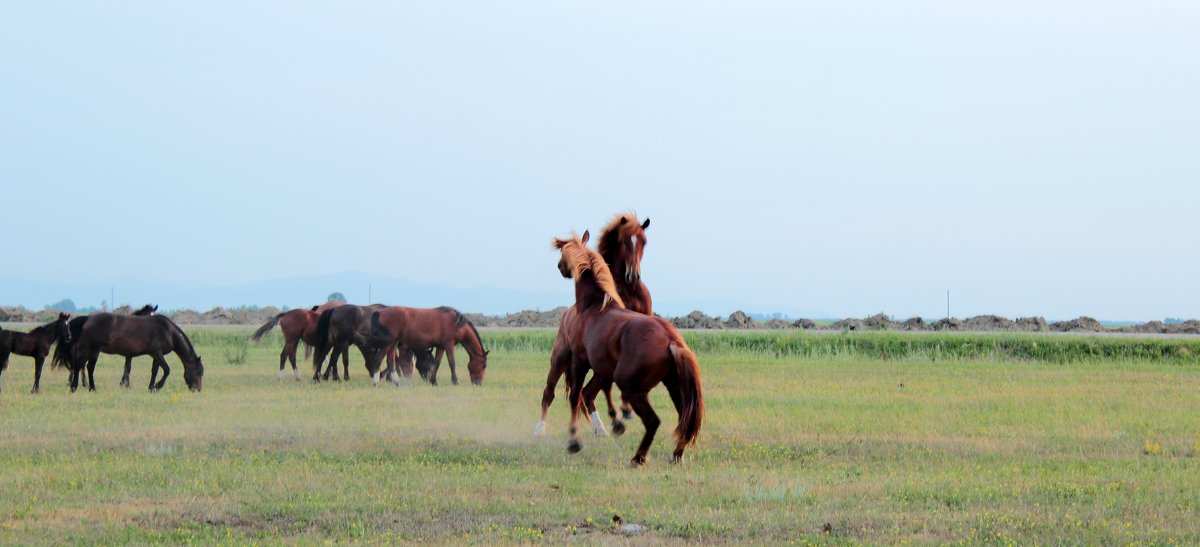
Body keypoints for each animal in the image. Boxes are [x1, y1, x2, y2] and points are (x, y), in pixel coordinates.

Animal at [66, 311, 204, 393]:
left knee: (78, 366)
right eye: (198, 372)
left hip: (88, 350)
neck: (168, 331)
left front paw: (151, 388)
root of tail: (88, 318)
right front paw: (158, 386)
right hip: (93, 350)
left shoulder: (156, 354)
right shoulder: (157, 353)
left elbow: (154, 371)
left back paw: (74, 387)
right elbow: (167, 370)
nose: (198, 389)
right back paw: (92, 388)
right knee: (89, 367)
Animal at [535, 212, 652, 436]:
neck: (593, 304)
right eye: (624, 241)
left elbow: (580, 394)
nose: (560, 267)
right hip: (560, 358)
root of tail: (567, 315)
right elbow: (576, 395)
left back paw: (605, 426)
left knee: (585, 393)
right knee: (551, 393)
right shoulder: (580, 362)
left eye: (643, 242)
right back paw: (540, 429)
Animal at [552, 230, 700, 465]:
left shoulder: (579, 362)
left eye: (564, 252)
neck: (594, 307)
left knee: (653, 421)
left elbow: (575, 397)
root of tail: (671, 341)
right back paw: (676, 455)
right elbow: (591, 393)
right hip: (674, 387)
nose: (560, 267)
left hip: (633, 389)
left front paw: (574, 442)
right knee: (683, 418)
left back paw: (638, 458)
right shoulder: (600, 369)